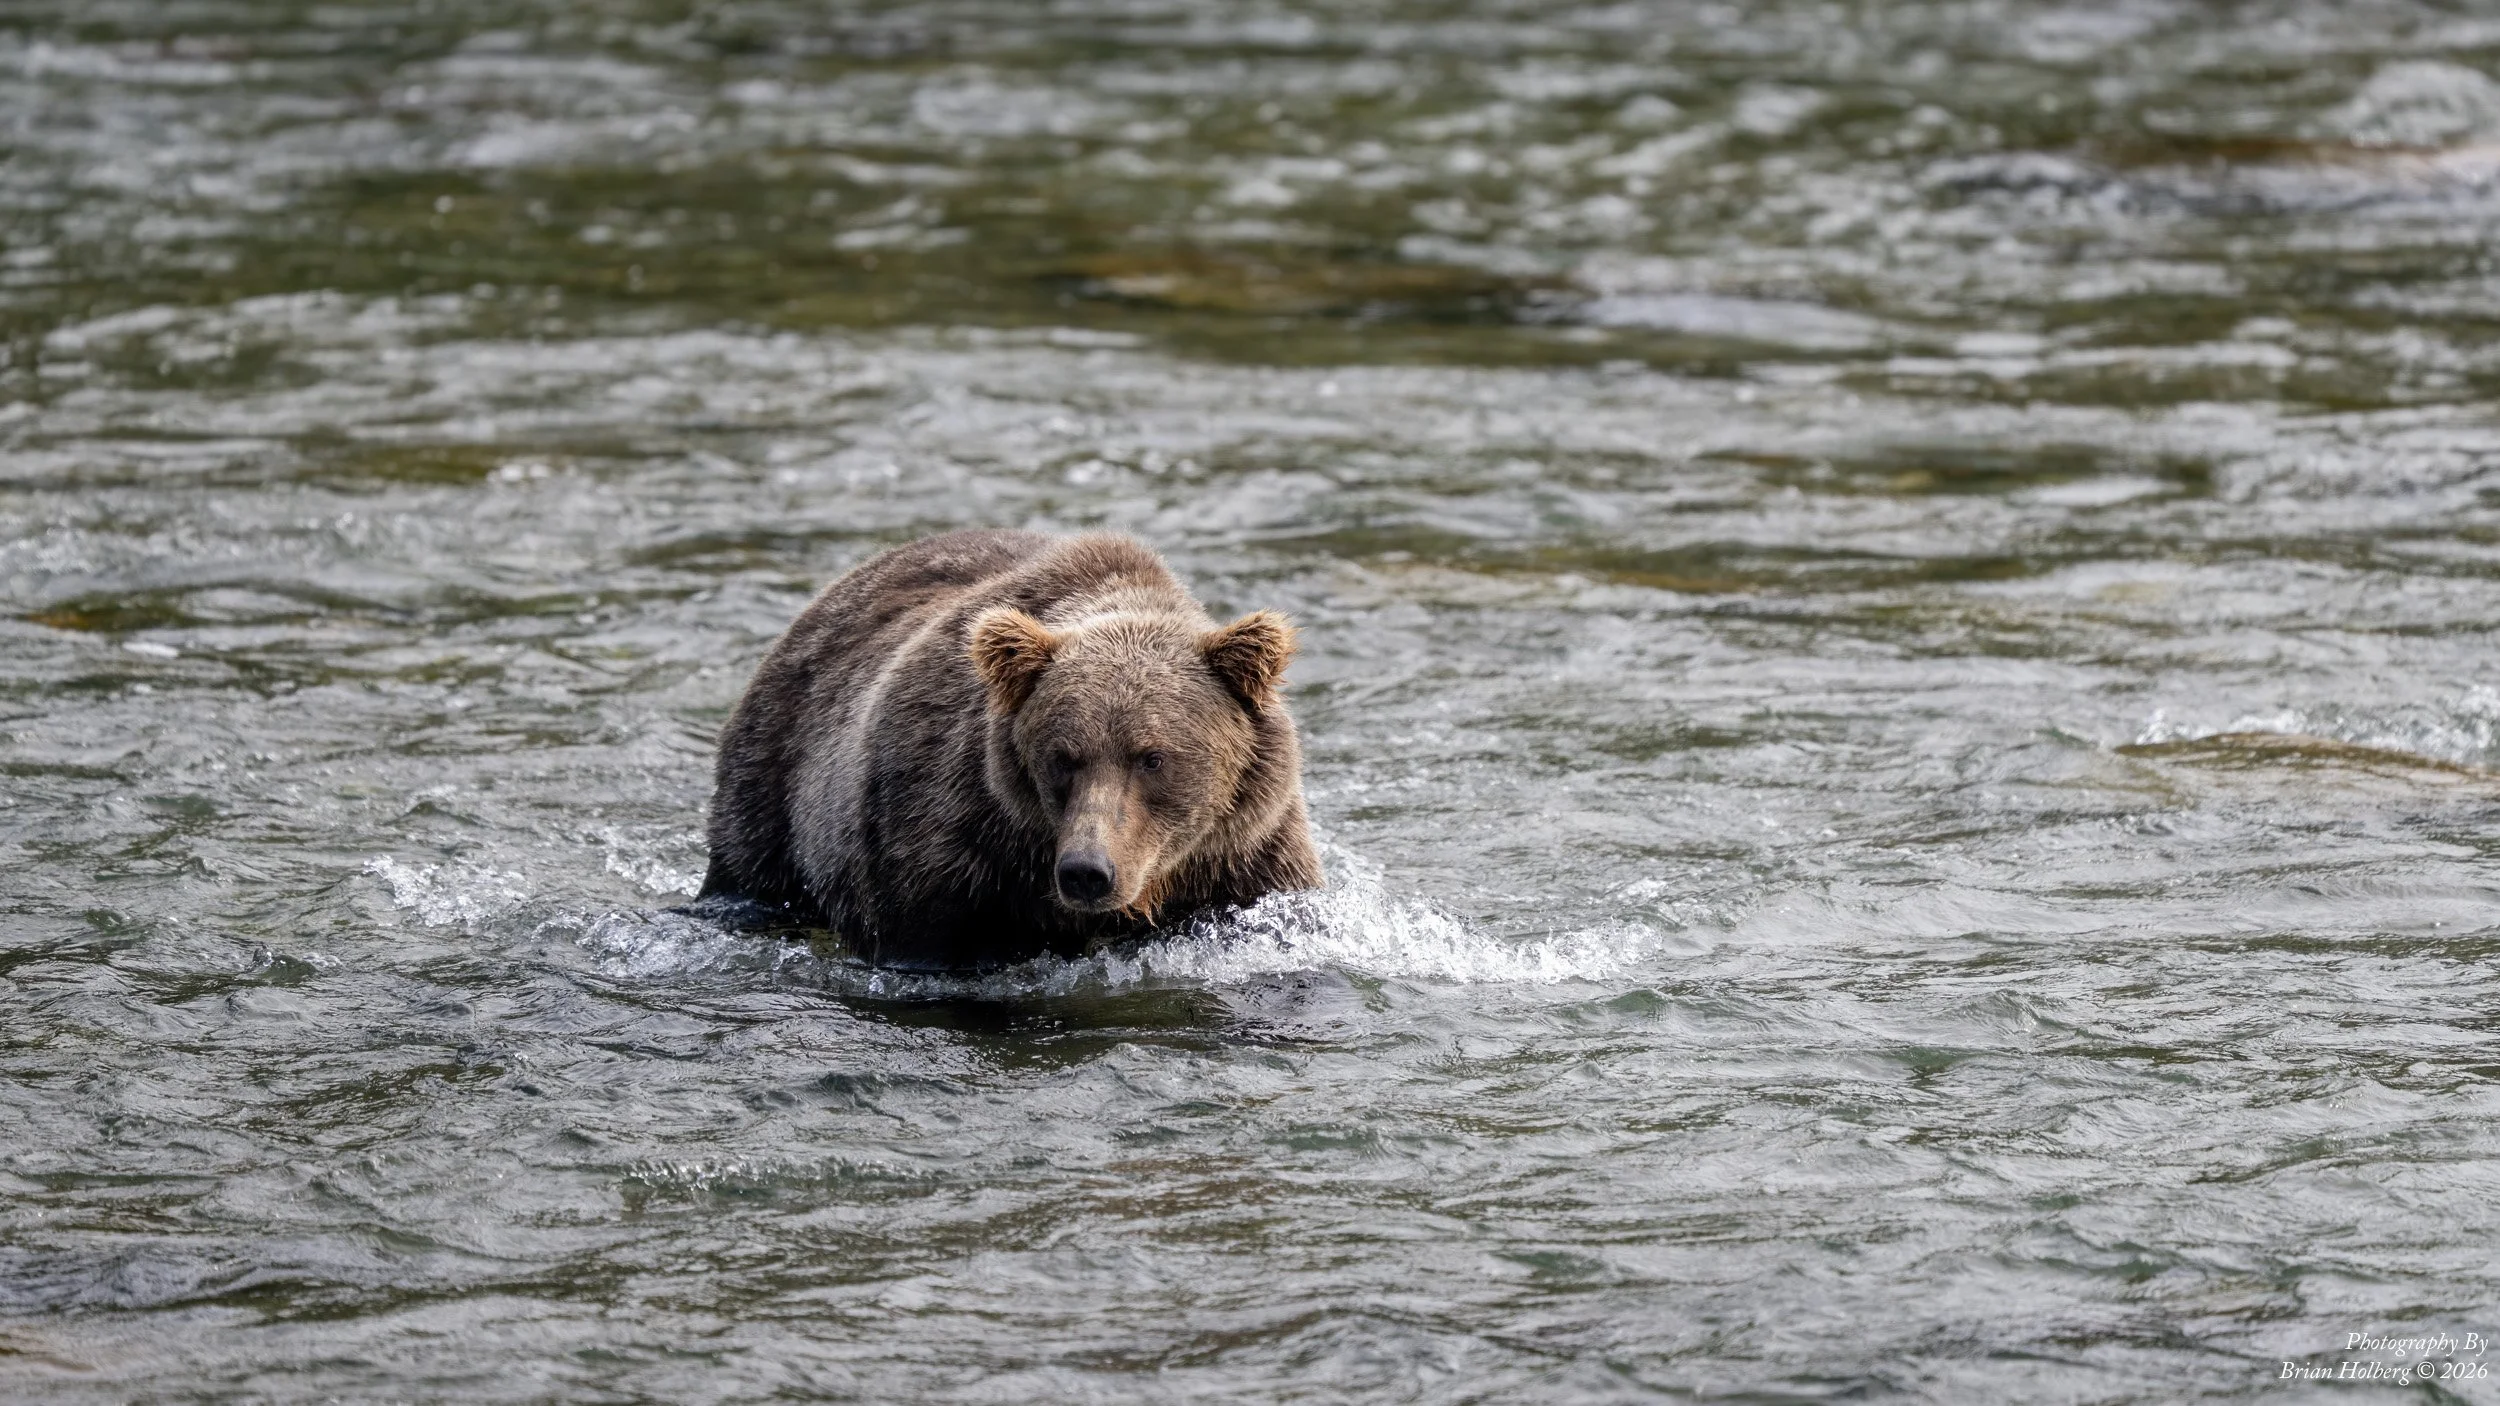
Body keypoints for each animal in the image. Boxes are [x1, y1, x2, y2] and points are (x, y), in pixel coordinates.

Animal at [698, 529, 1323, 969]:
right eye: (1062, 757)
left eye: (1152, 757)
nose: (1087, 871)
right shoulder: (947, 847)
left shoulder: (1247, 852)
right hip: (774, 785)